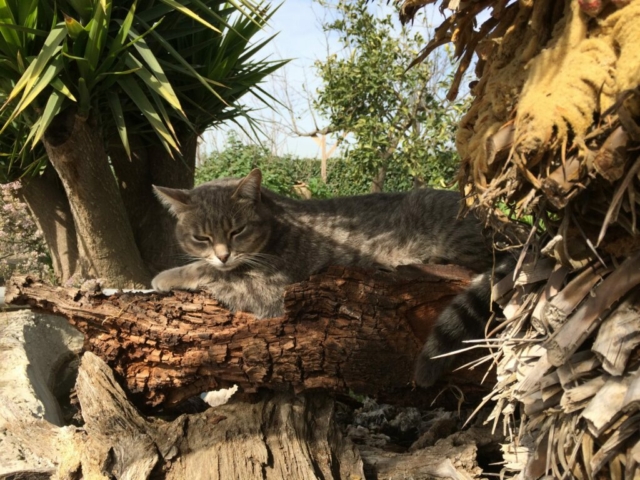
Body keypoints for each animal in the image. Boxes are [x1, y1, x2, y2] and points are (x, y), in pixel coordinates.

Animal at [152, 169, 508, 386]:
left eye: (237, 231)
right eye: (201, 238)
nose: (224, 254)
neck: (275, 223)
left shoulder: (269, 291)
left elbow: (208, 271)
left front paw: (165, 276)